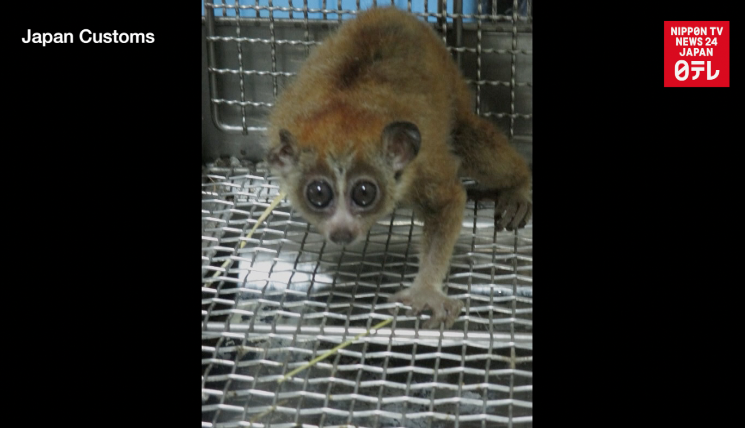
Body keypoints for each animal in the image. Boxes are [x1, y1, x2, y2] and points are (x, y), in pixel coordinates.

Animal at [265, 7, 531, 329]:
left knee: (467, 138)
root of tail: (391, 10)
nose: (342, 233)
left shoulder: (423, 165)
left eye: (364, 193)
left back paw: (519, 187)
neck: (345, 108)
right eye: (317, 193)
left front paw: (426, 289)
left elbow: (448, 201)